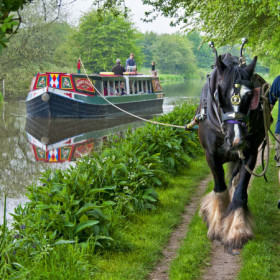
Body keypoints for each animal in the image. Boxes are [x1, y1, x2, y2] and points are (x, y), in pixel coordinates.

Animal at [197, 52, 270, 252]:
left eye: (250, 95)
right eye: (219, 93)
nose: (236, 139)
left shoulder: (250, 154)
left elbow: (239, 193)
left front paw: (236, 230)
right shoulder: (211, 156)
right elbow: (220, 188)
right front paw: (216, 224)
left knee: (236, 181)